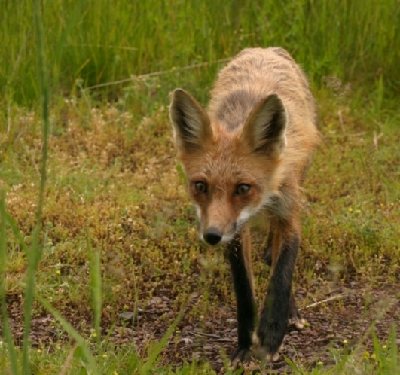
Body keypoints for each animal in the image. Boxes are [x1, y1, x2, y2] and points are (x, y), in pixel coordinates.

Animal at [169, 47, 318, 364]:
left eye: (243, 188)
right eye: (200, 186)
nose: (212, 236)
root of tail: (265, 48)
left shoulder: (289, 209)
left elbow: (283, 270)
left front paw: (272, 333)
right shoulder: (234, 228)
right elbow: (243, 287)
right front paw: (245, 344)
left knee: (275, 253)